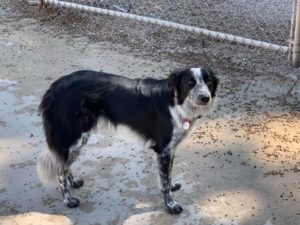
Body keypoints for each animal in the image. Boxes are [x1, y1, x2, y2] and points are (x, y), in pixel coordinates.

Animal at [37, 66, 219, 214]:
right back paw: (68, 200)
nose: (205, 98)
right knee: (60, 170)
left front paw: (171, 187)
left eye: (208, 81)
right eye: (190, 83)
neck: (176, 102)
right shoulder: (164, 150)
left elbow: (167, 176)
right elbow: (165, 182)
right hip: (75, 137)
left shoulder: (170, 149)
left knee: (64, 164)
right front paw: (170, 205)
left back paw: (74, 182)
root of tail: (55, 86)